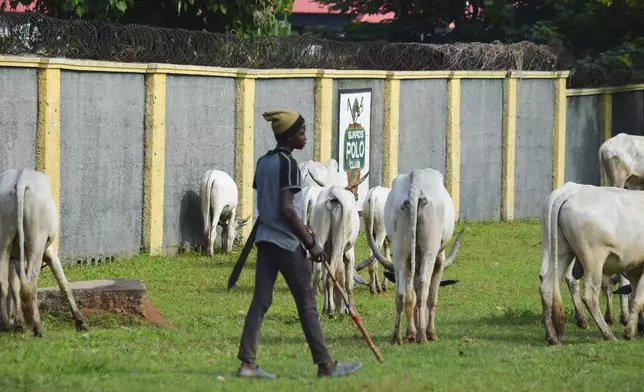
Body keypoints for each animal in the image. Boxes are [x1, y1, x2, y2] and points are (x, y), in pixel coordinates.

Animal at [0, 167, 87, 336]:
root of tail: (20, 180)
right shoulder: (49, 251)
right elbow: (64, 284)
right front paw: (80, 323)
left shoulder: (14, 258)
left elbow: (14, 287)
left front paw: (17, 323)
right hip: (37, 244)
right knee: (30, 284)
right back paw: (38, 328)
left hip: (3, 243)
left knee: (3, 284)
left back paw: (7, 325)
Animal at [362, 167, 462, 344]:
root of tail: (415, 183)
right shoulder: (440, 259)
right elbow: (431, 297)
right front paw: (429, 332)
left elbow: (410, 294)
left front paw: (410, 332)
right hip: (429, 250)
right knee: (423, 288)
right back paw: (423, 335)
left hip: (400, 251)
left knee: (402, 294)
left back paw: (397, 336)